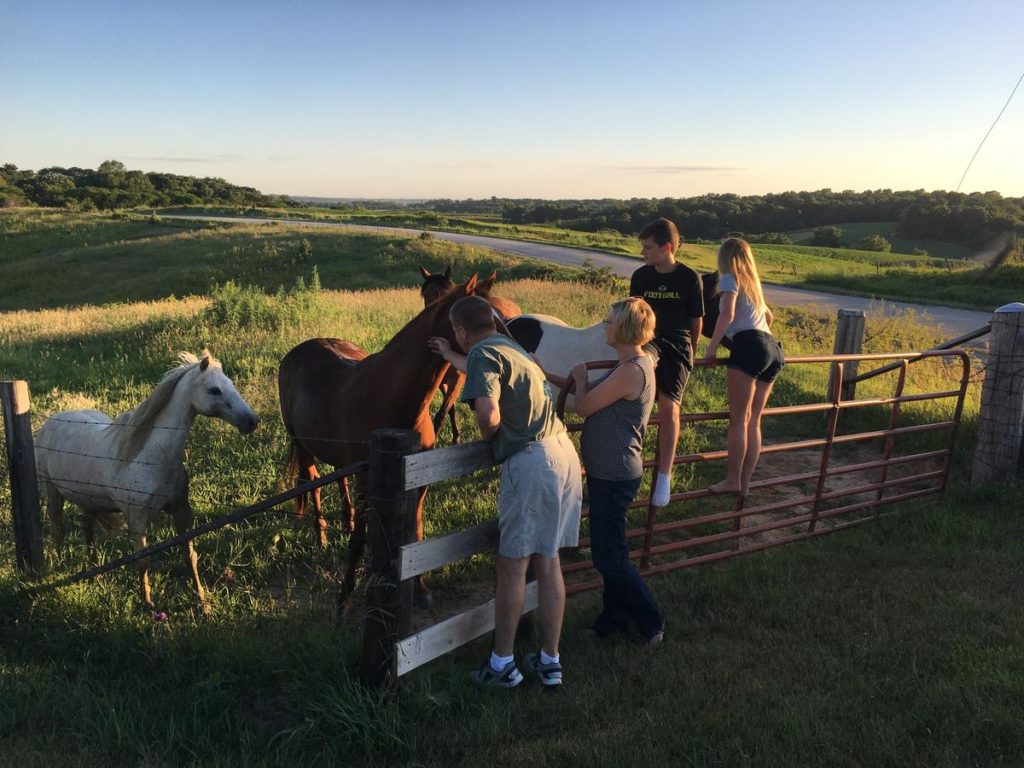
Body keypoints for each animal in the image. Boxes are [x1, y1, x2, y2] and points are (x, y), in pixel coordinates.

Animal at [35, 352, 260, 610]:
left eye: (230, 383)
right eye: (214, 390)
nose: (252, 421)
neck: (151, 457)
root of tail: (52, 421)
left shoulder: (181, 510)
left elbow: (189, 555)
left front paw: (202, 601)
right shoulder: (137, 517)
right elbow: (142, 560)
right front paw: (148, 604)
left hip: (89, 501)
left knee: (88, 533)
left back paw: (97, 576)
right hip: (52, 494)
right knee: (58, 531)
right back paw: (63, 568)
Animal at [278, 274, 485, 606]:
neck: (397, 399)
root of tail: (298, 351)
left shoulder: (419, 480)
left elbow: (415, 532)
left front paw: (421, 588)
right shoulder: (367, 479)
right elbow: (359, 540)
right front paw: (344, 597)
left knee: (338, 478)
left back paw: (345, 519)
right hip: (303, 444)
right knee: (313, 481)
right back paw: (321, 534)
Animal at [415, 266, 520, 442]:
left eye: (448, 292)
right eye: (425, 294)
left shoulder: (457, 381)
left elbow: (442, 413)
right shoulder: (442, 383)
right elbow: (450, 409)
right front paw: (455, 436)